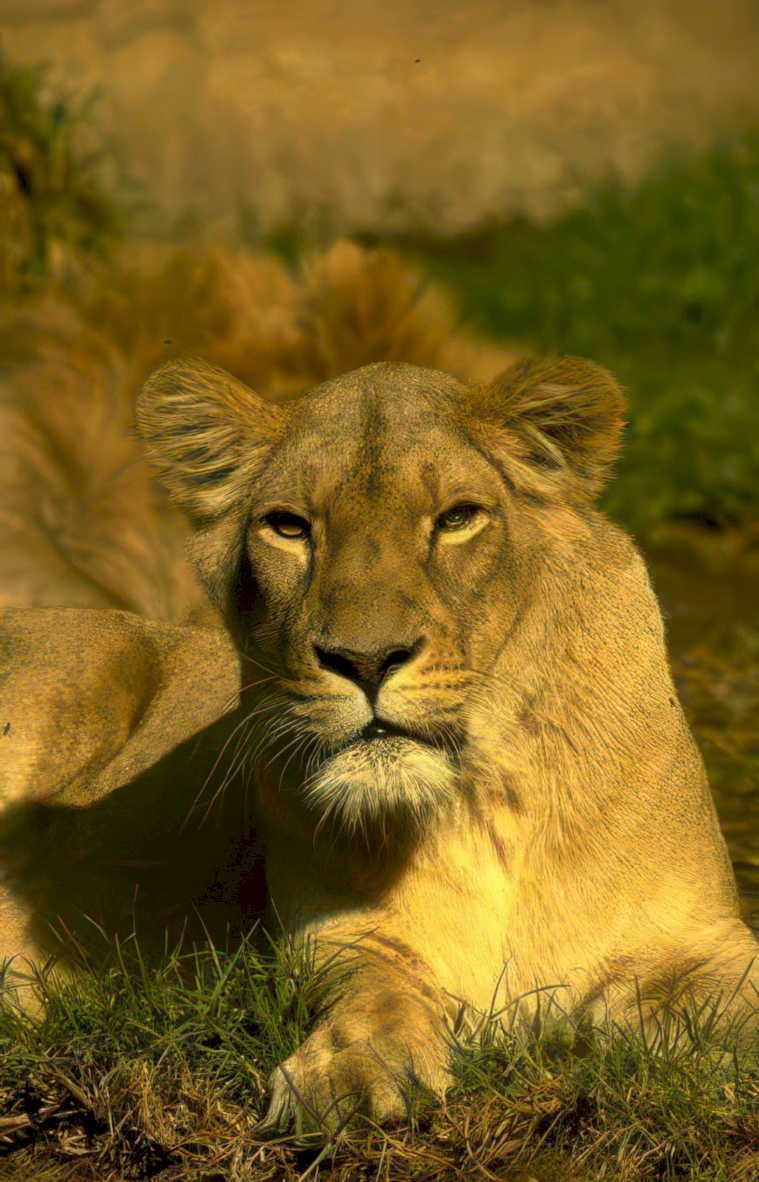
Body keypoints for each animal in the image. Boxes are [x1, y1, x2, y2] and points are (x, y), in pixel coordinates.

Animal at [0, 246, 756, 1133]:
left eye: (457, 518)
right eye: (289, 526)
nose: (365, 660)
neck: (480, 795)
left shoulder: (700, 940)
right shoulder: (334, 942)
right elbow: (376, 995)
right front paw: (350, 1076)